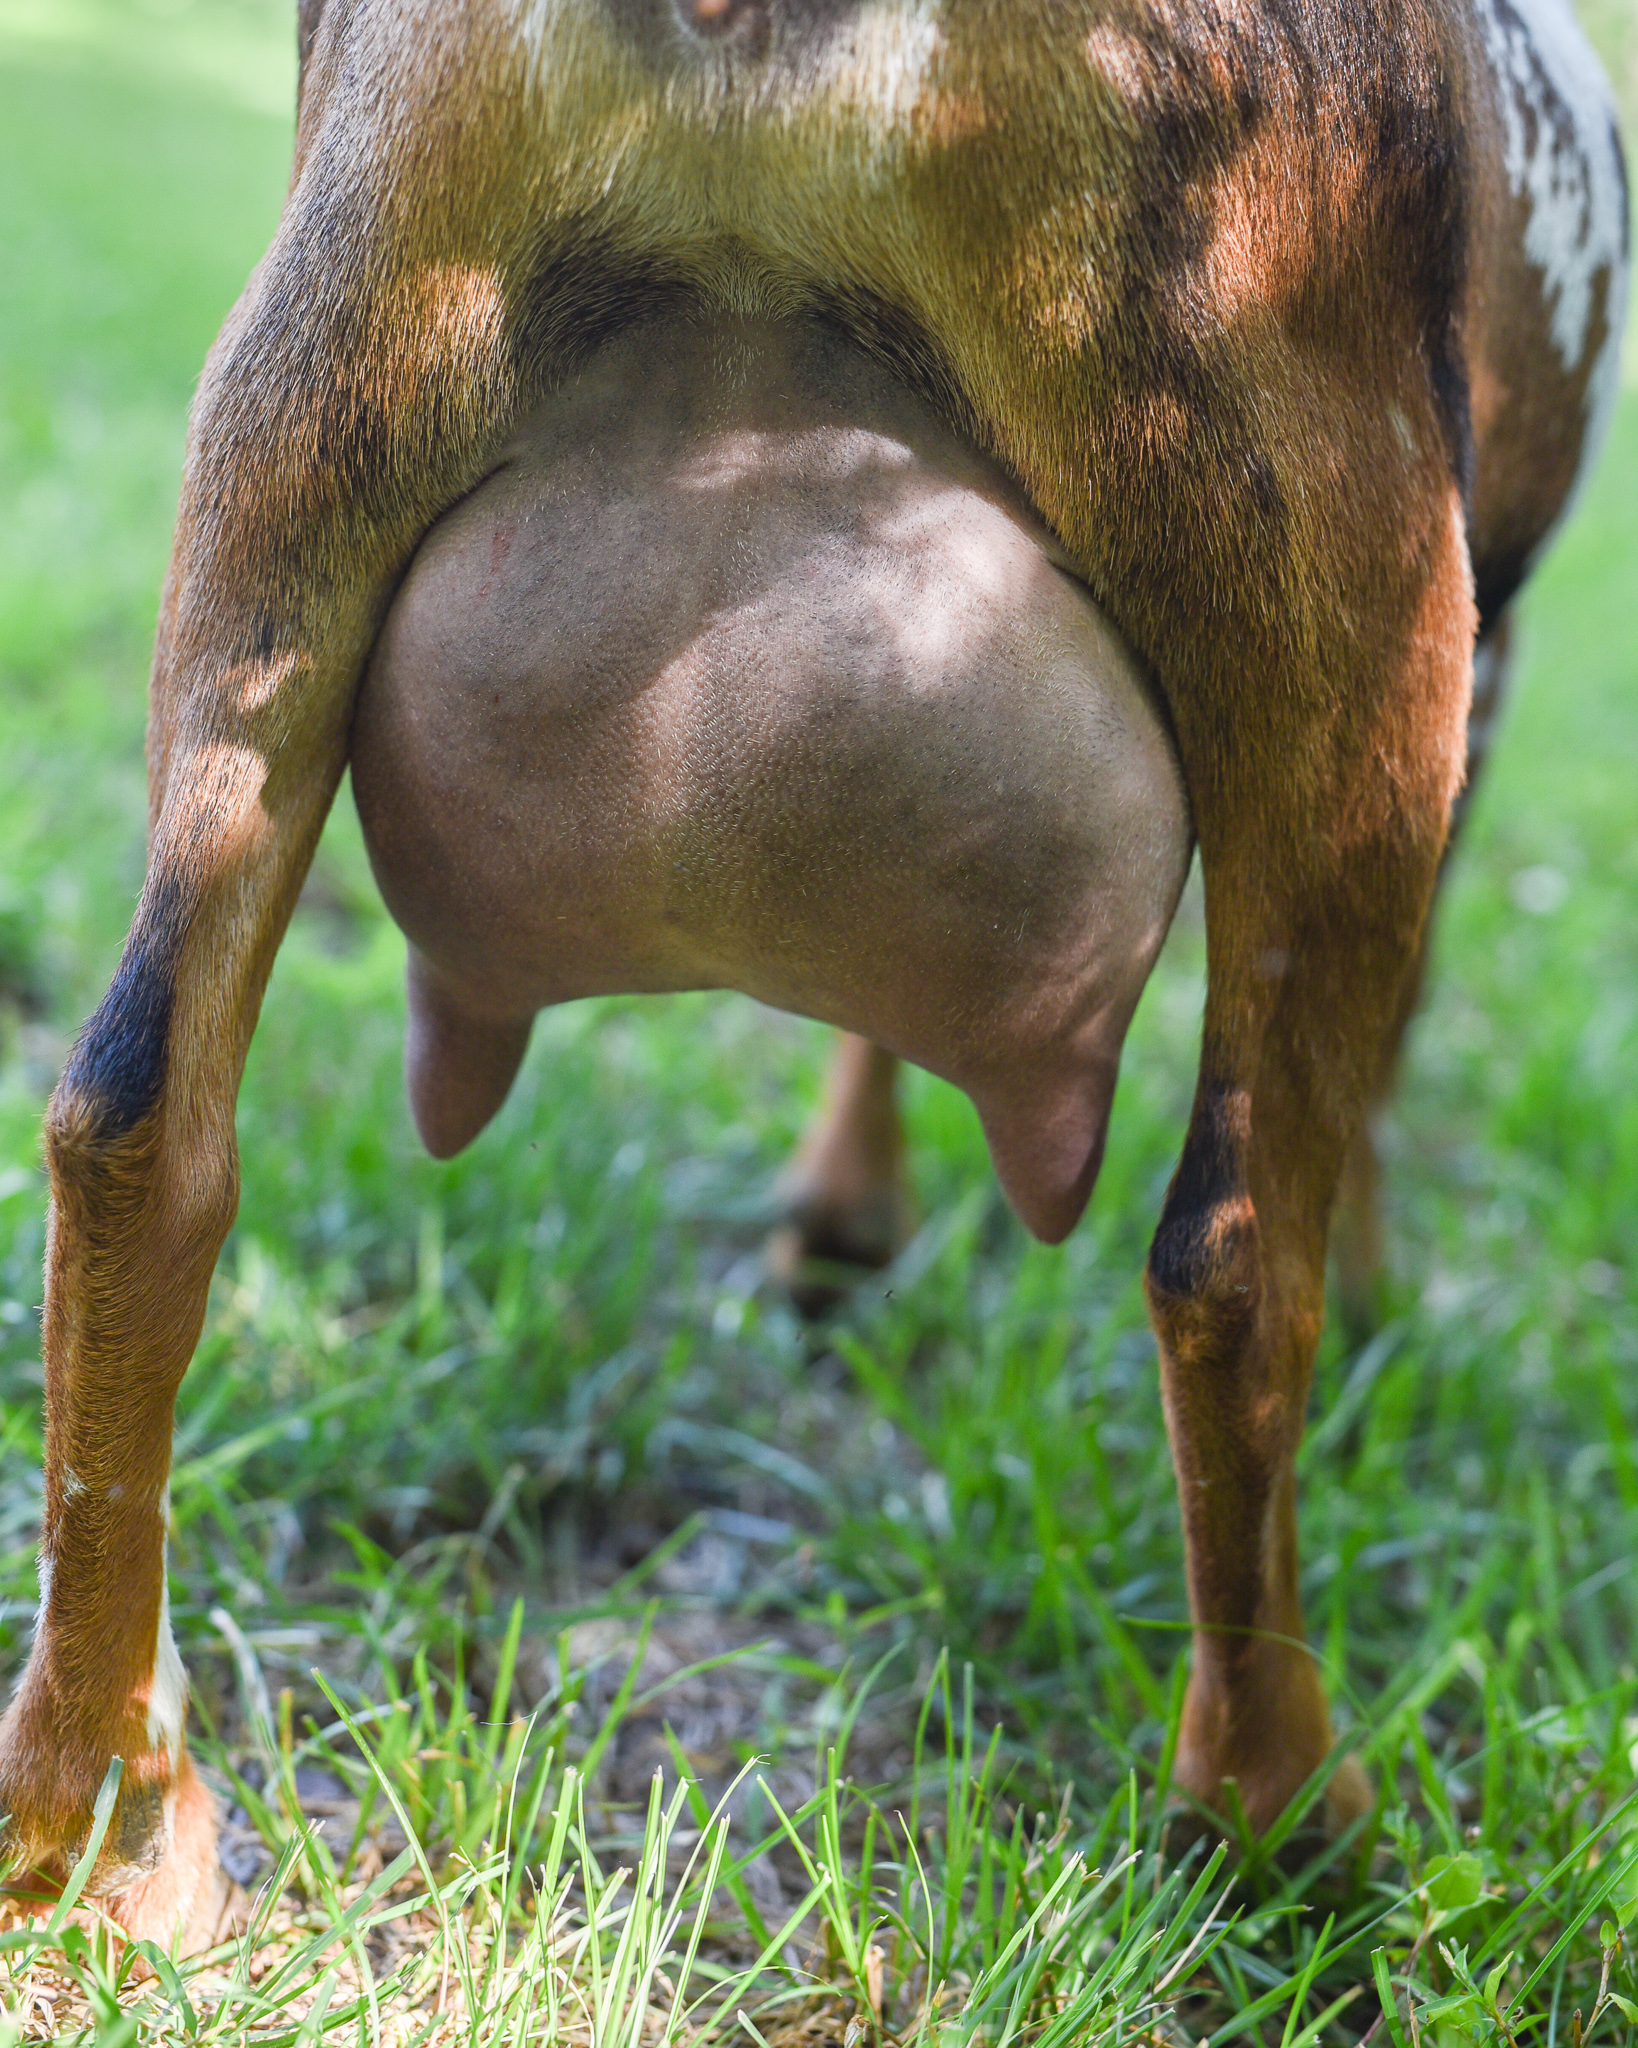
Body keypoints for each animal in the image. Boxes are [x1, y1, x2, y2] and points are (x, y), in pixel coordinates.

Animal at [0, 0, 1626, 1945]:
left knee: (132, 1125)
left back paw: (100, 1821)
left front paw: (840, 1221)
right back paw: (1281, 1812)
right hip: (1348, 597)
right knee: (1231, 1253)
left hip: (289, 465)